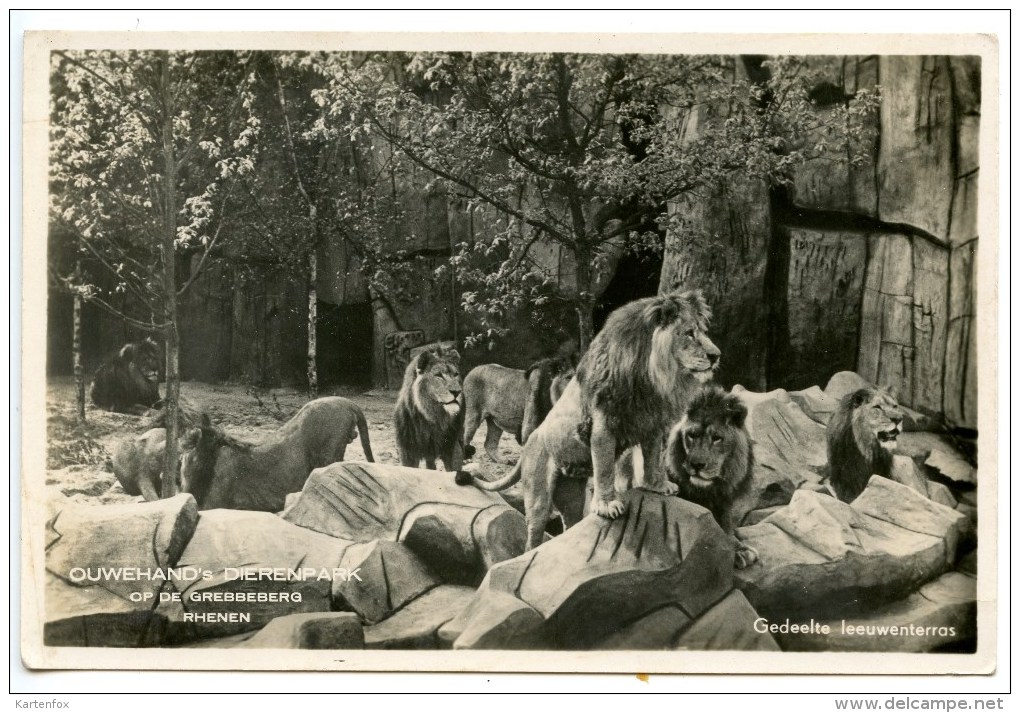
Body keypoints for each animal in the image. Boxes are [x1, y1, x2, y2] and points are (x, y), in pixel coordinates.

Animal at [459, 291, 722, 550]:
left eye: (703, 331)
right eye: (689, 333)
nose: (716, 356)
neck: (650, 375)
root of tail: (527, 447)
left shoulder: (651, 424)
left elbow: (652, 458)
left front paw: (657, 485)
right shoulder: (602, 425)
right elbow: (605, 468)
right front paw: (607, 505)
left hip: (571, 493)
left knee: (570, 523)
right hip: (538, 492)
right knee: (534, 532)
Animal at [669, 385, 758, 567]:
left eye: (717, 438)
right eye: (691, 435)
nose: (697, 464)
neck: (708, 492)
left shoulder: (724, 505)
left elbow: (726, 528)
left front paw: (741, 547)